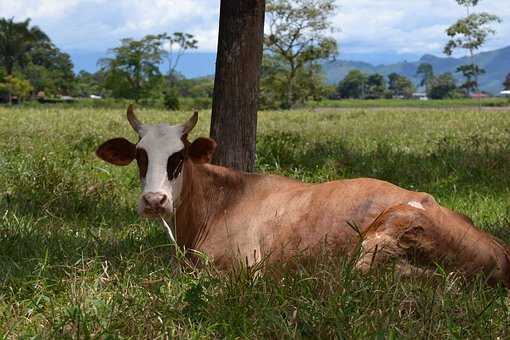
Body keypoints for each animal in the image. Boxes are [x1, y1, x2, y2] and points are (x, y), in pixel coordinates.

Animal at [95, 106, 510, 286]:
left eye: (178, 157)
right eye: (140, 156)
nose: (154, 201)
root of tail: (500, 250)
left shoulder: (243, 266)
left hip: (383, 235)